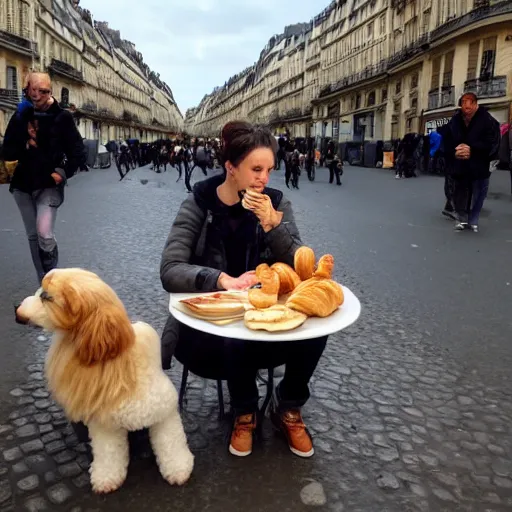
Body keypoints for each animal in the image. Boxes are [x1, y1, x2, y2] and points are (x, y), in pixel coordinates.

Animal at [15, 270, 194, 494]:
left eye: (46, 297)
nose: (16, 310)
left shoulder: (164, 414)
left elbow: (171, 443)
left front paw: (179, 470)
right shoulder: (104, 425)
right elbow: (108, 454)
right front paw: (106, 479)